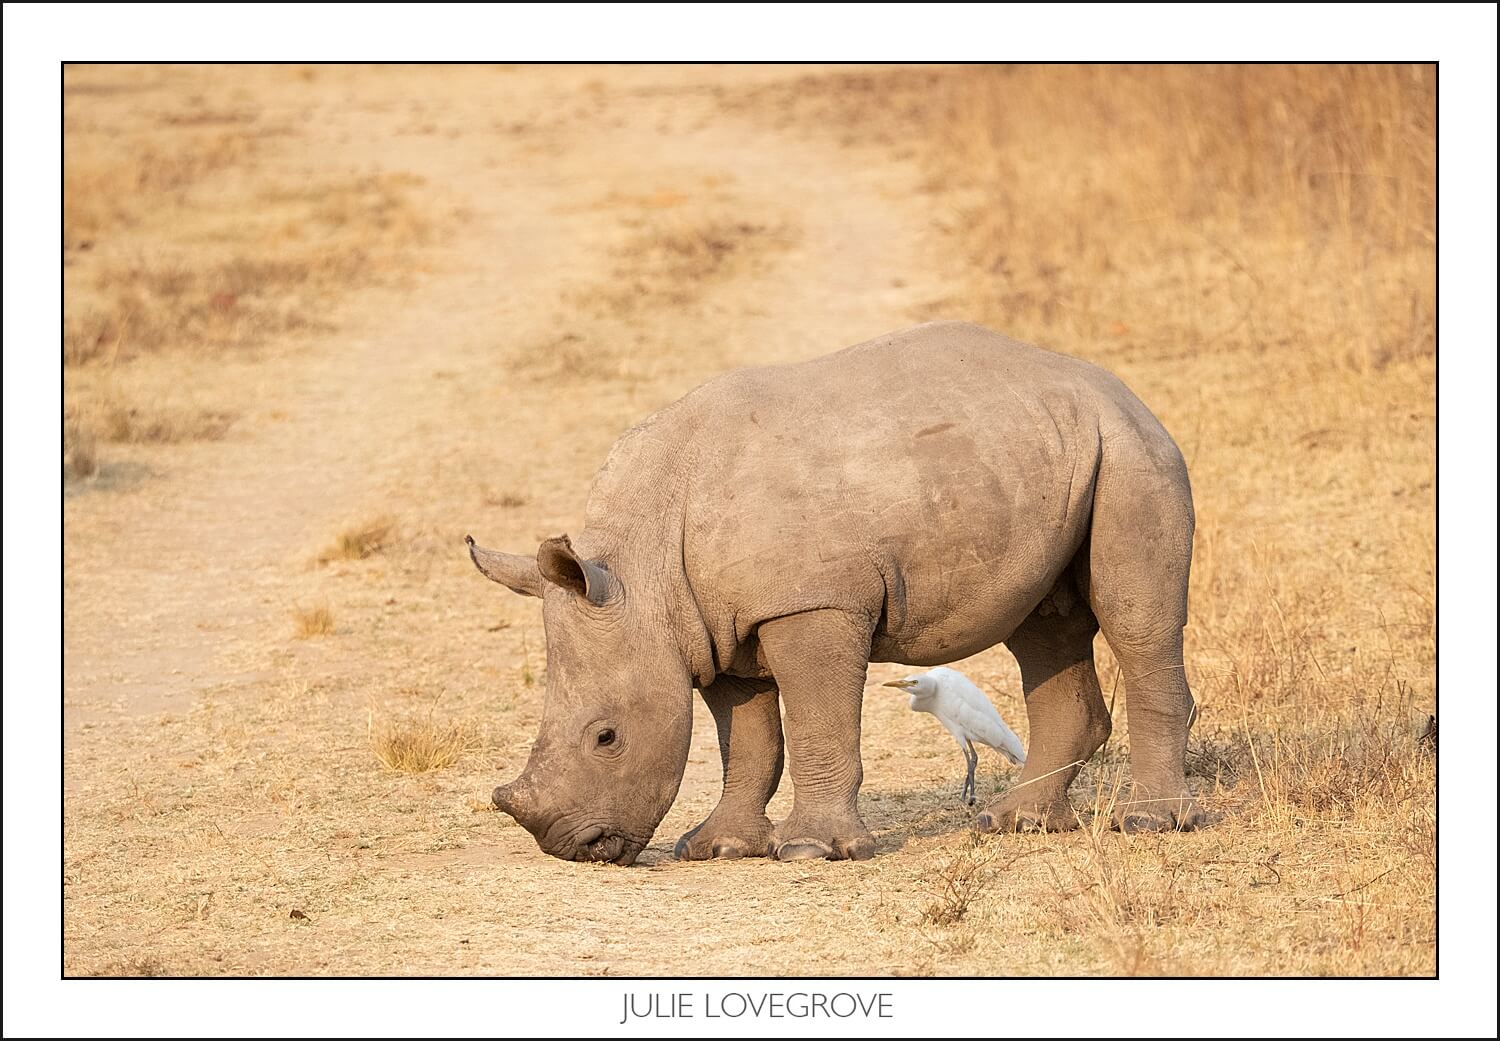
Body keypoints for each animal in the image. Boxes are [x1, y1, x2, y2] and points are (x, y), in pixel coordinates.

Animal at [470, 321, 1208, 865]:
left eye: (607, 737)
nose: (570, 847)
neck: (642, 572)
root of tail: (1124, 392)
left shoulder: (811, 603)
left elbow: (817, 722)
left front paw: (810, 850)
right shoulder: (717, 625)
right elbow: (750, 739)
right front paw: (718, 848)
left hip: (1134, 453)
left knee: (1136, 621)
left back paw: (1148, 824)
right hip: (1049, 458)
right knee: (1043, 630)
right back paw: (1014, 823)